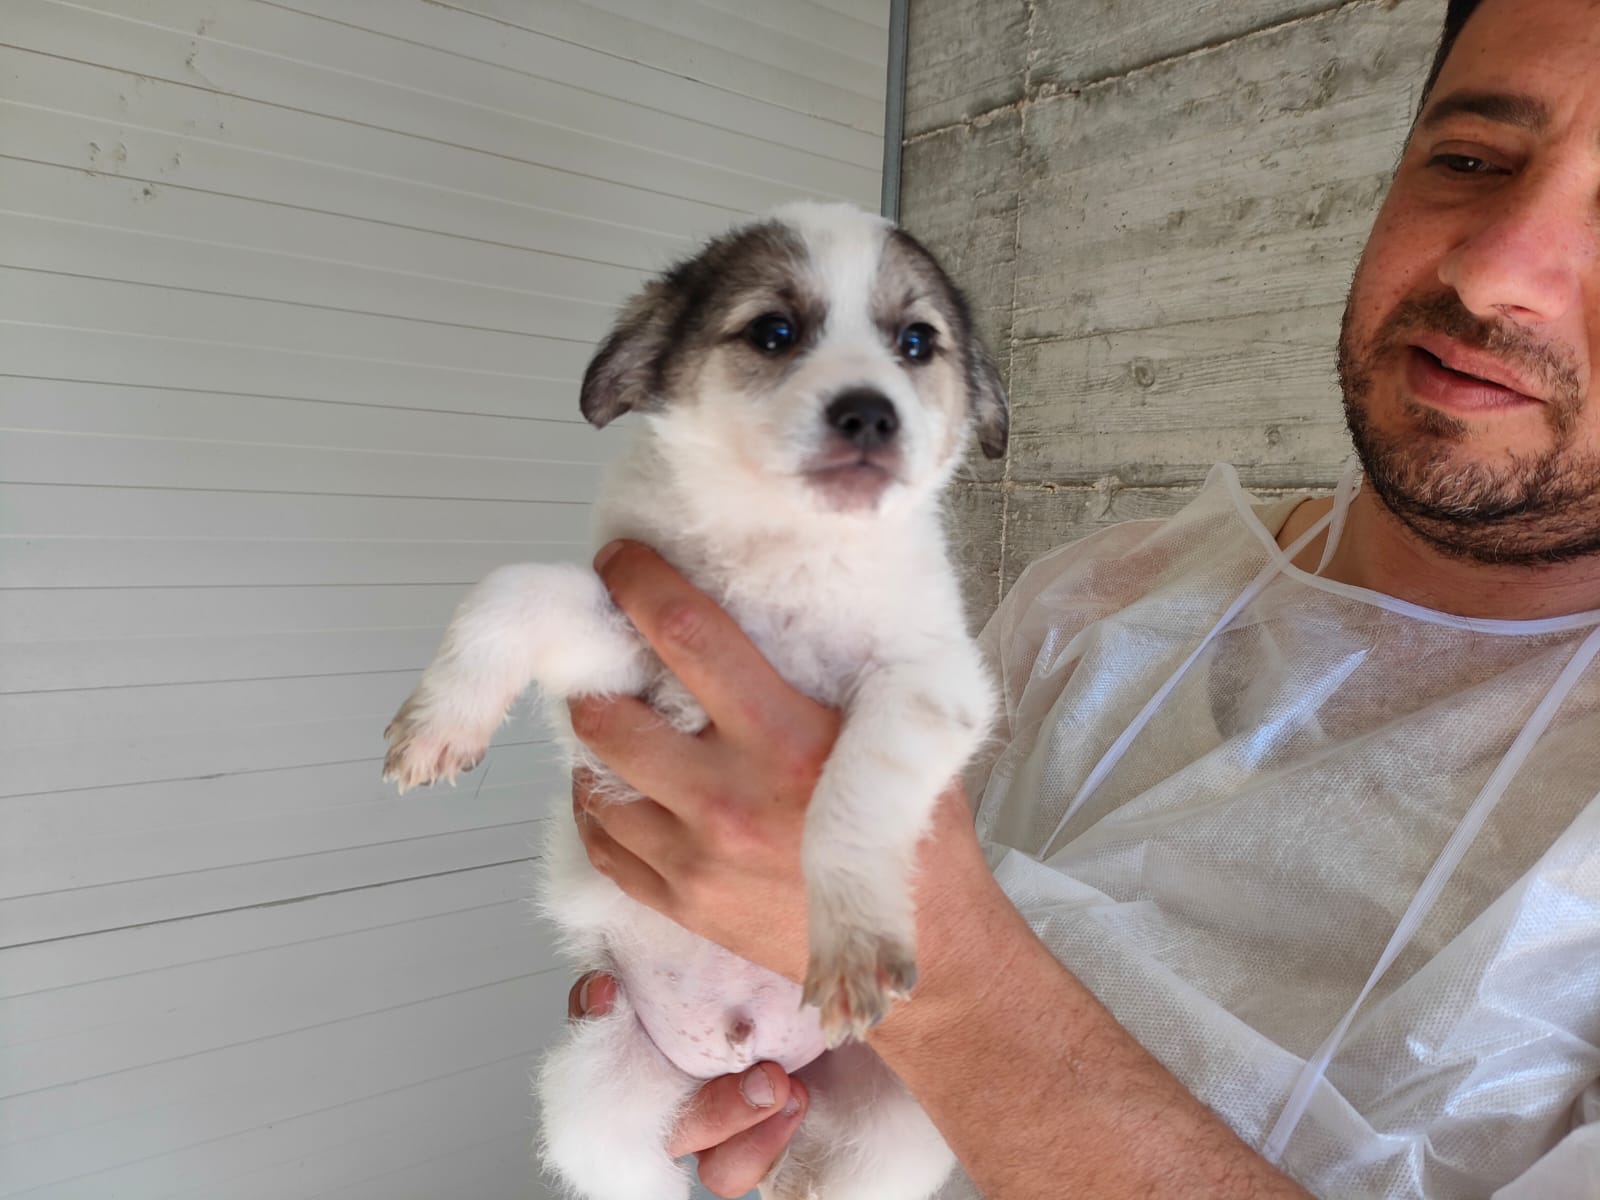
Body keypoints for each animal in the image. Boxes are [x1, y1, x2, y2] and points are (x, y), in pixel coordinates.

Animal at [382, 201, 1007, 1200]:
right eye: (775, 332)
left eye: (917, 342)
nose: (869, 413)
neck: (785, 551)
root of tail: (769, 1064)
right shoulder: (630, 644)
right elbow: (512, 588)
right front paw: (442, 719)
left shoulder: (930, 682)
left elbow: (853, 794)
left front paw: (854, 929)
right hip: (597, 1093)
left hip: (903, 1119)